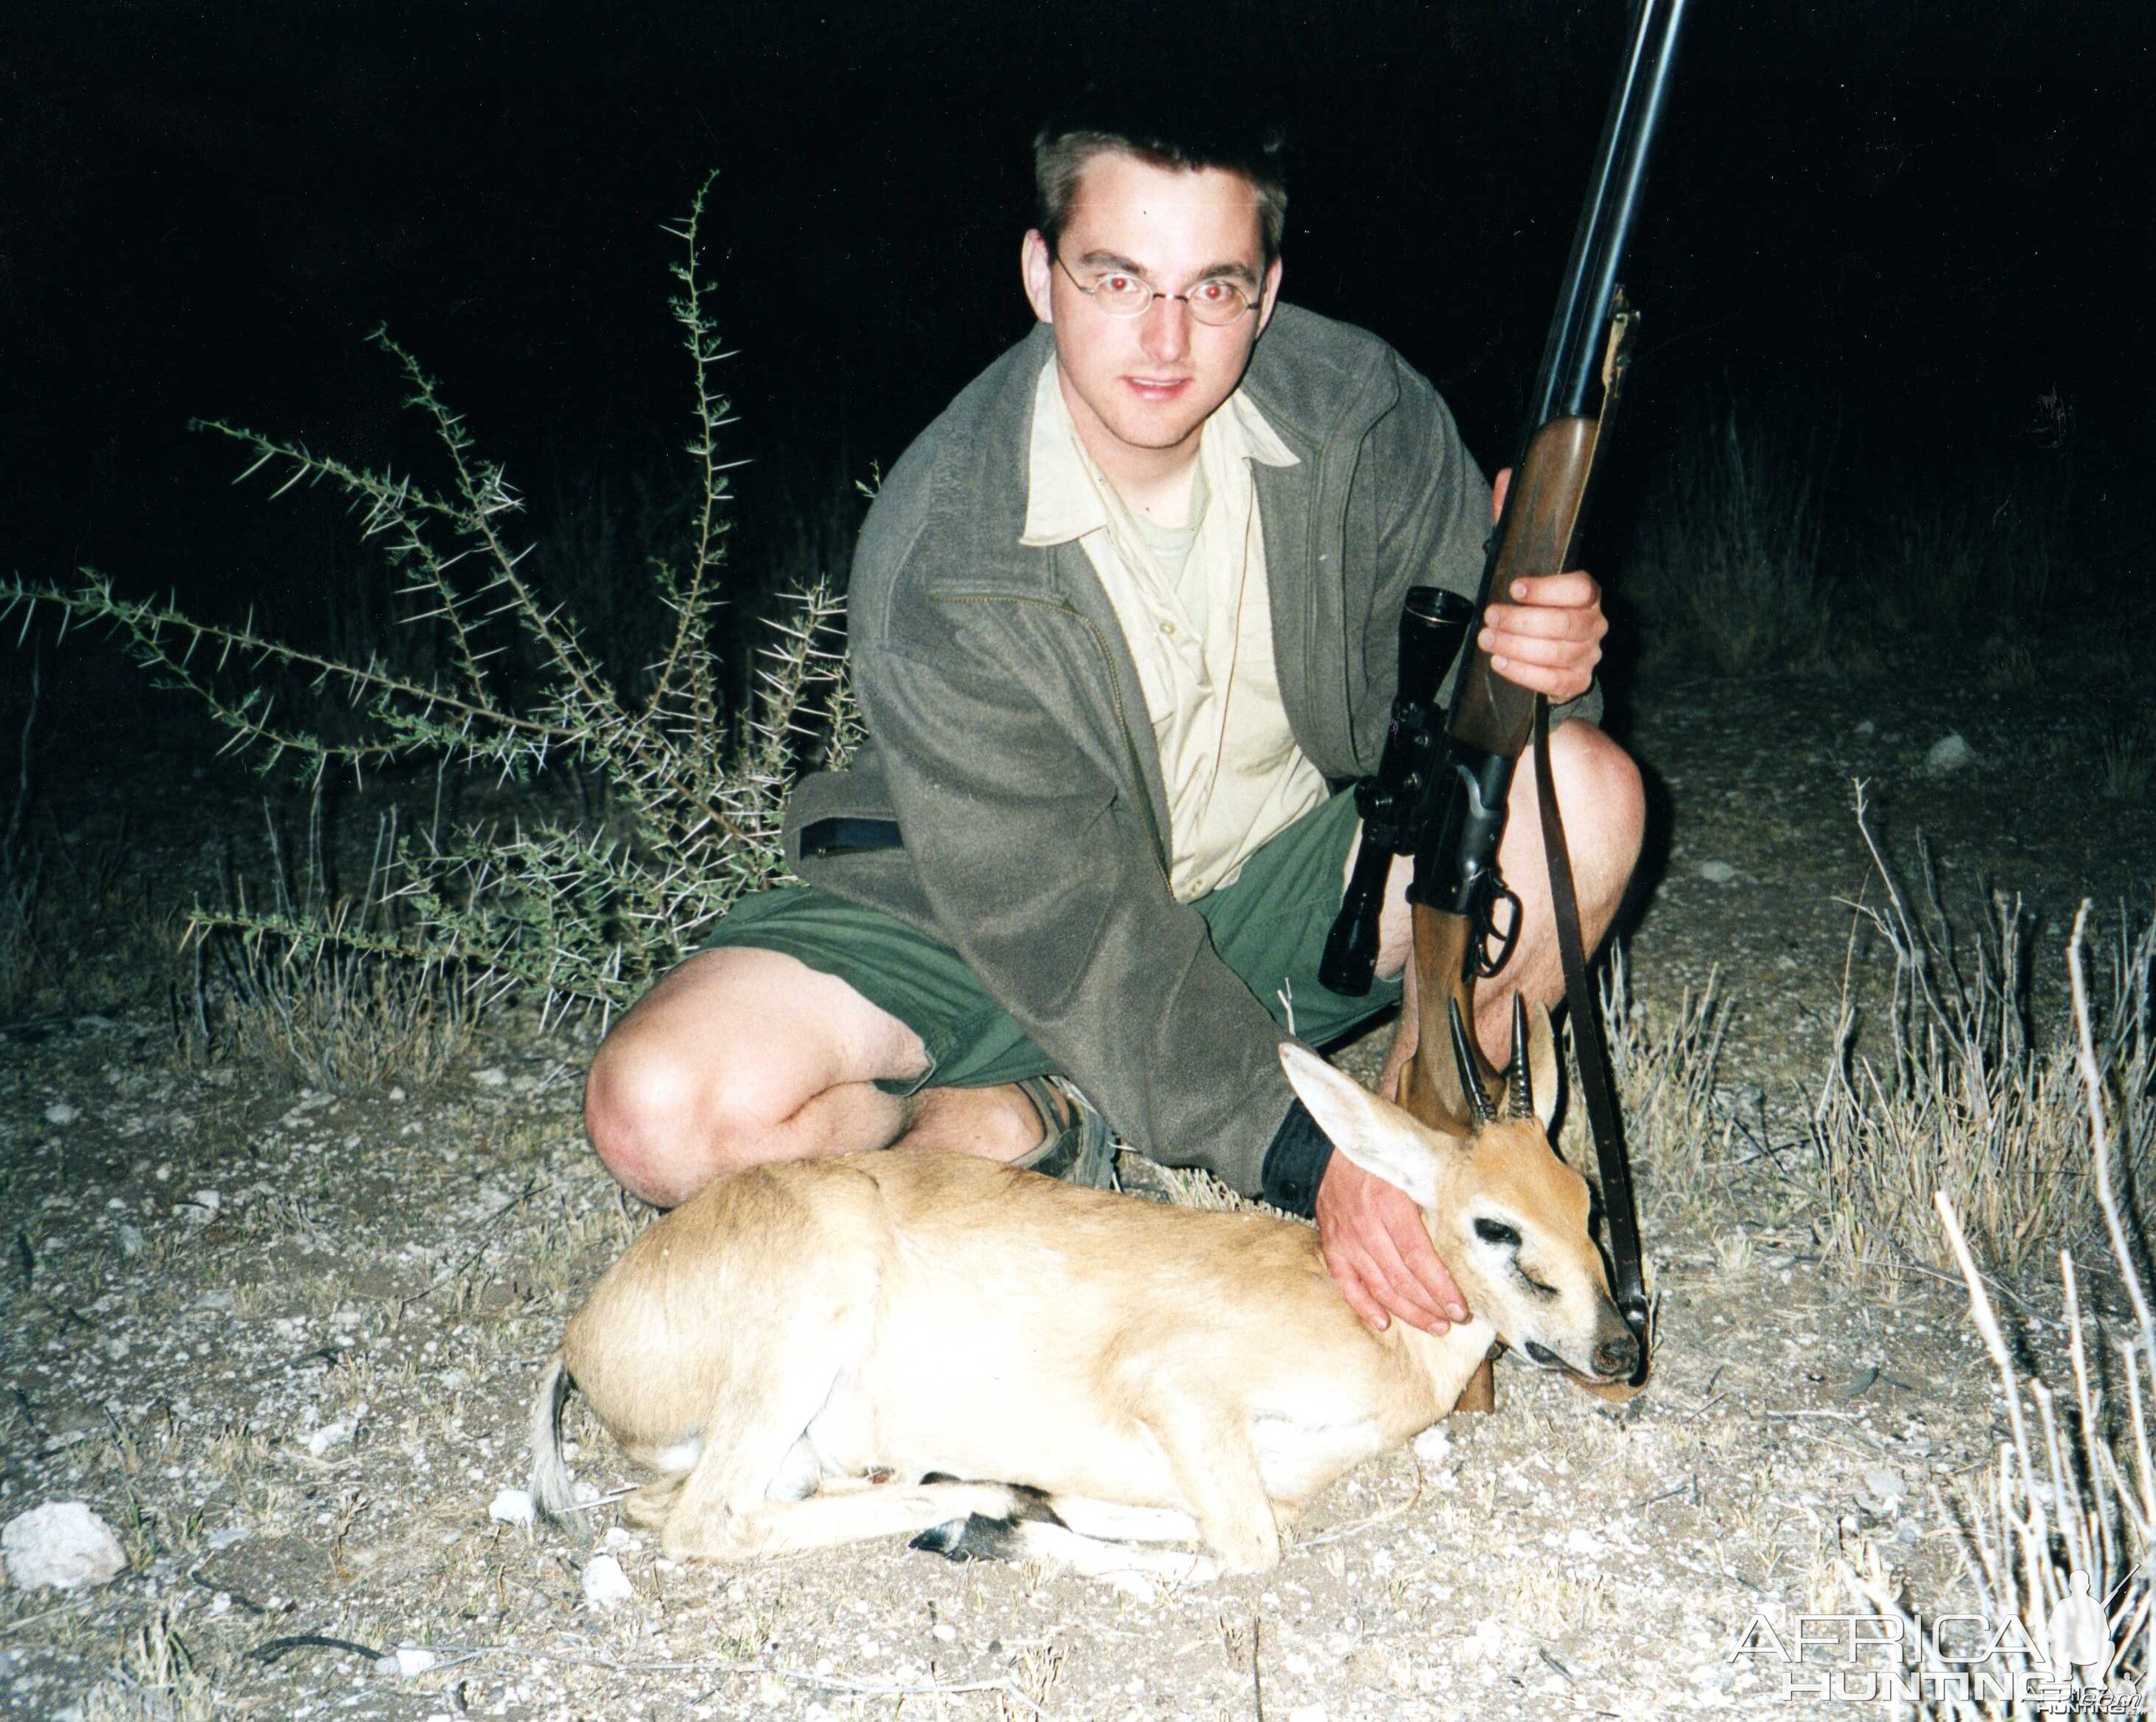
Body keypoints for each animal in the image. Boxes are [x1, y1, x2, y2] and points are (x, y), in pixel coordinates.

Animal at [534, 995, 1629, 1577]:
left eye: (1585, 1199)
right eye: (1496, 1225)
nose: (1620, 1347)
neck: (1379, 1331)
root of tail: (584, 1339)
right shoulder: (1179, 1390)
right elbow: (1244, 1545)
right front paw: (1013, 1527)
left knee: (678, 1505)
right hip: (803, 1328)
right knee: (698, 1522)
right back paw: (973, 1505)